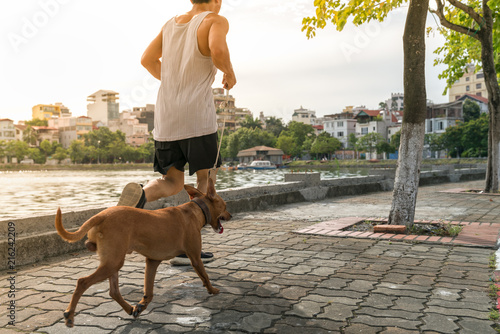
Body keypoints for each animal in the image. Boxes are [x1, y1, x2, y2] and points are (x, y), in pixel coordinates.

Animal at [54, 179, 230, 328]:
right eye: (225, 206)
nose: (231, 215)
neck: (194, 210)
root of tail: (101, 215)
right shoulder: (194, 257)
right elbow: (205, 276)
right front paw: (212, 290)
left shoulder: (152, 261)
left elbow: (149, 292)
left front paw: (141, 306)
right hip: (112, 263)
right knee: (82, 282)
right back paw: (69, 315)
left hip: (113, 262)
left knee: (114, 291)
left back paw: (129, 308)